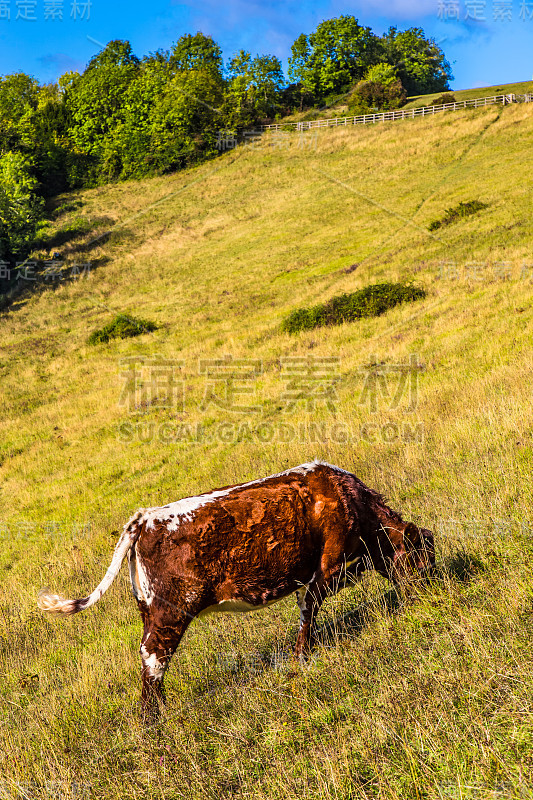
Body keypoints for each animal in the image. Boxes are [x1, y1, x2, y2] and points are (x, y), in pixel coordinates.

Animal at [38, 460, 436, 716]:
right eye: (422, 557)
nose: (432, 592)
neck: (349, 499)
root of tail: (146, 516)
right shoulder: (329, 567)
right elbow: (312, 606)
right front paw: (301, 656)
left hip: (150, 610)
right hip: (171, 613)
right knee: (153, 658)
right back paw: (154, 721)